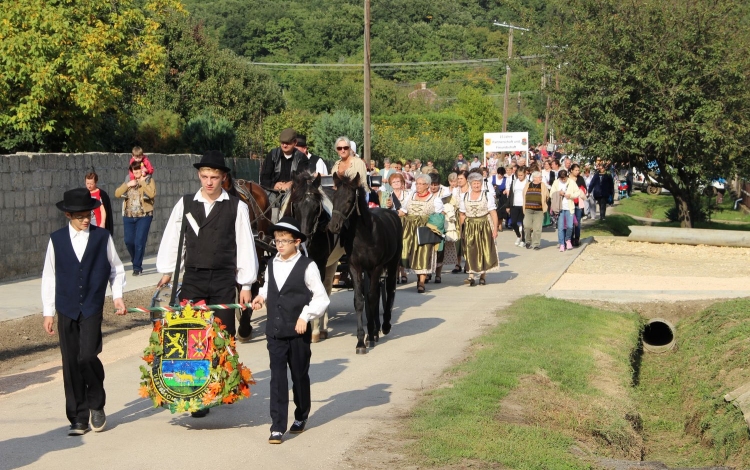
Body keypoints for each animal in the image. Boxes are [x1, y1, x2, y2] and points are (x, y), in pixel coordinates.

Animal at [328, 173, 402, 352]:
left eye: (349, 200)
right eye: (334, 198)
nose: (334, 226)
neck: (364, 235)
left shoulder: (376, 267)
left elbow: (372, 297)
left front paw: (371, 334)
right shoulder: (355, 267)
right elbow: (360, 300)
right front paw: (362, 340)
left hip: (392, 262)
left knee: (389, 289)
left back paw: (385, 326)